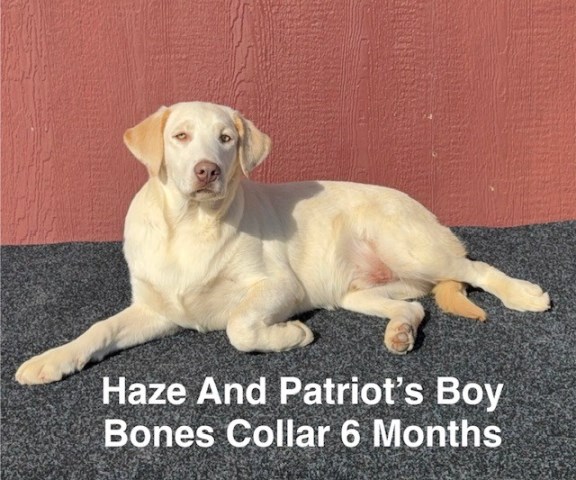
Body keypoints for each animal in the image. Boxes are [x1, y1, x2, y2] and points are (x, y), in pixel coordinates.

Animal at [16, 101, 550, 385]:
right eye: (181, 136)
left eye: (227, 139)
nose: (206, 171)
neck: (190, 225)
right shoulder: (158, 309)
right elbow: (99, 329)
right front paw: (52, 359)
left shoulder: (277, 286)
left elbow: (238, 326)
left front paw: (291, 335)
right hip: (356, 292)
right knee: (416, 306)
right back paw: (400, 331)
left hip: (409, 245)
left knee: (476, 268)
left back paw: (525, 294)